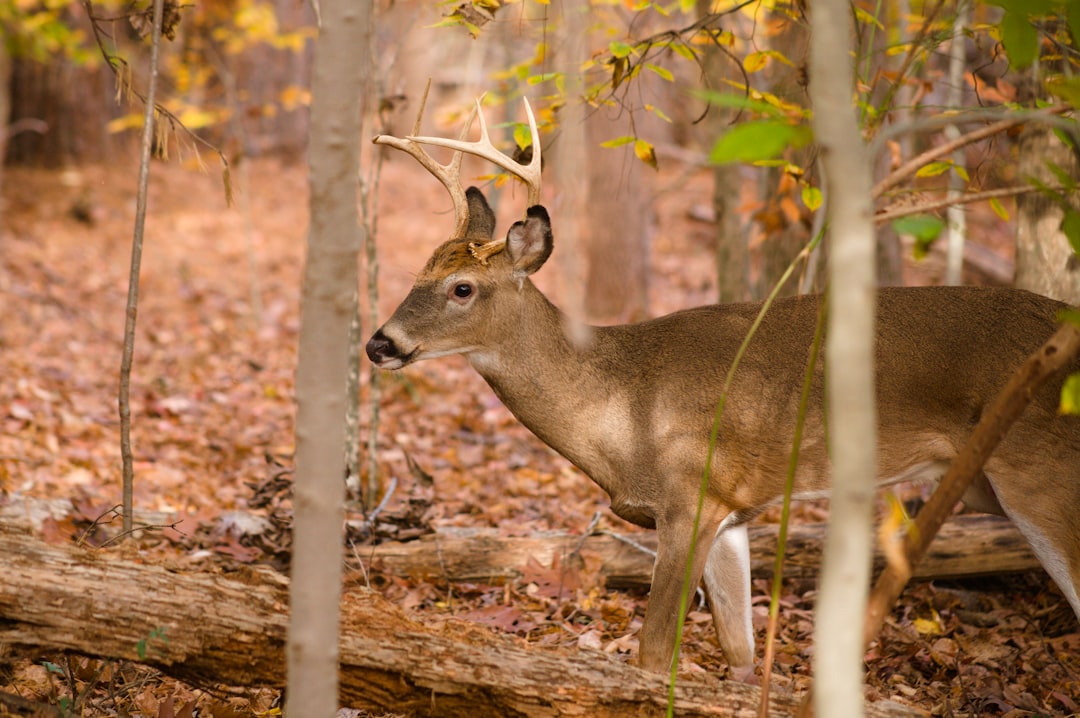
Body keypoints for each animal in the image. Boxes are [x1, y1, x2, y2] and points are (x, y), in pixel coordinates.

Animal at [369, 95, 1080, 673]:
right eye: (419, 271)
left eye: (463, 288)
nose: (381, 343)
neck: (621, 408)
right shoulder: (733, 510)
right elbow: (738, 654)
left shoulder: (692, 494)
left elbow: (654, 655)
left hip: (1040, 470)